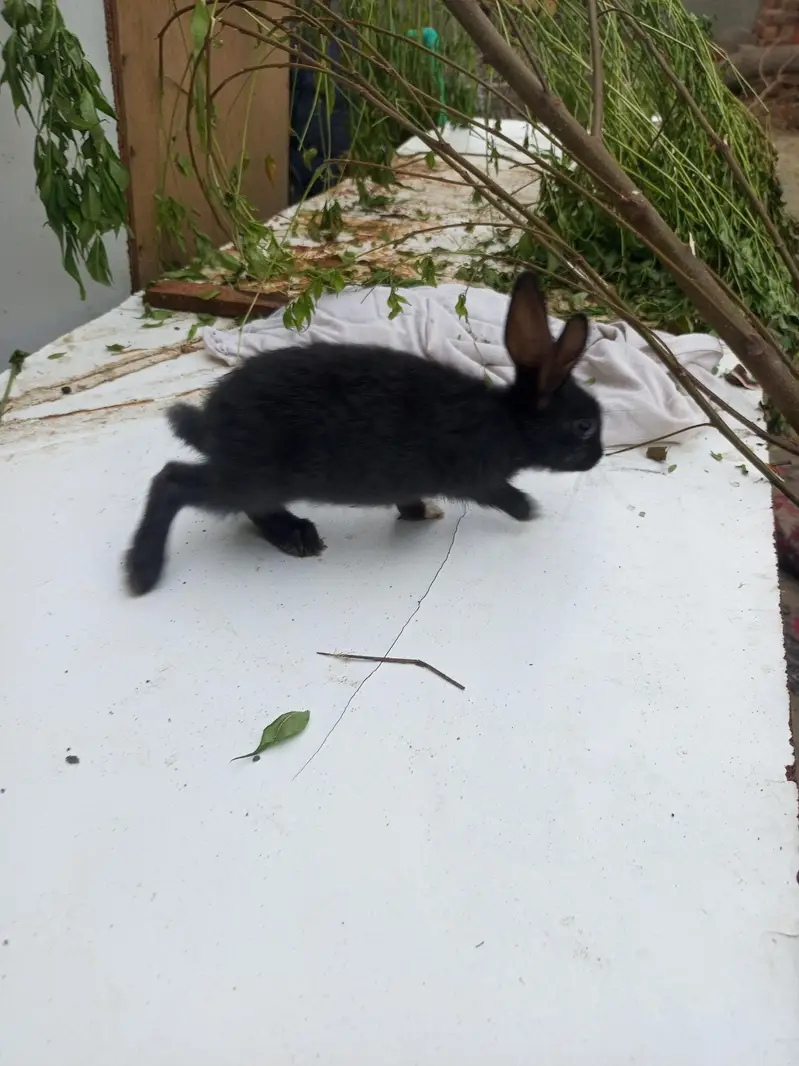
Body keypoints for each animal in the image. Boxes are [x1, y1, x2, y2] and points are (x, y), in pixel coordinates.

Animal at [125, 271, 602, 595]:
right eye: (584, 426)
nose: (598, 456)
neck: (509, 422)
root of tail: (213, 423)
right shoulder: (478, 478)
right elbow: (504, 496)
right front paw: (529, 511)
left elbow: (409, 497)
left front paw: (418, 512)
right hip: (251, 474)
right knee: (173, 481)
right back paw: (142, 572)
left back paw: (297, 535)